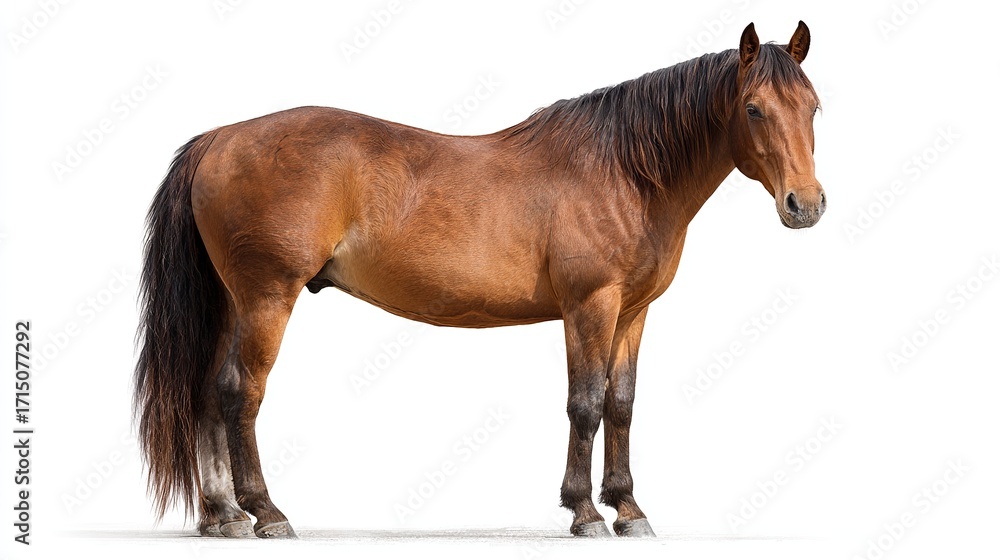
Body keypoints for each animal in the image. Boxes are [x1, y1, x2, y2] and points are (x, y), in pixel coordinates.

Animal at [133, 21, 824, 539]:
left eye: (814, 107)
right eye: (754, 108)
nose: (807, 205)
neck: (624, 171)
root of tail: (220, 138)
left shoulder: (632, 312)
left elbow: (622, 405)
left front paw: (629, 509)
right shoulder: (590, 307)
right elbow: (585, 403)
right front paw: (584, 511)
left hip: (233, 302)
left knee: (207, 392)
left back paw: (223, 516)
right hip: (267, 298)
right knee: (239, 392)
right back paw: (266, 512)